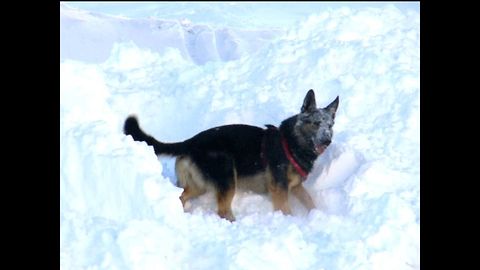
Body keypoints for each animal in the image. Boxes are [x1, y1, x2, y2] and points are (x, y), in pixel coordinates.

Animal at [124, 89, 338, 220]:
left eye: (330, 126)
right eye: (316, 123)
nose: (327, 141)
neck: (292, 143)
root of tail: (190, 142)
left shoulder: (295, 187)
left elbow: (311, 202)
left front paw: (317, 215)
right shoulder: (279, 189)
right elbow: (286, 210)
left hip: (199, 185)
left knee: (182, 196)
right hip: (227, 174)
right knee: (223, 210)